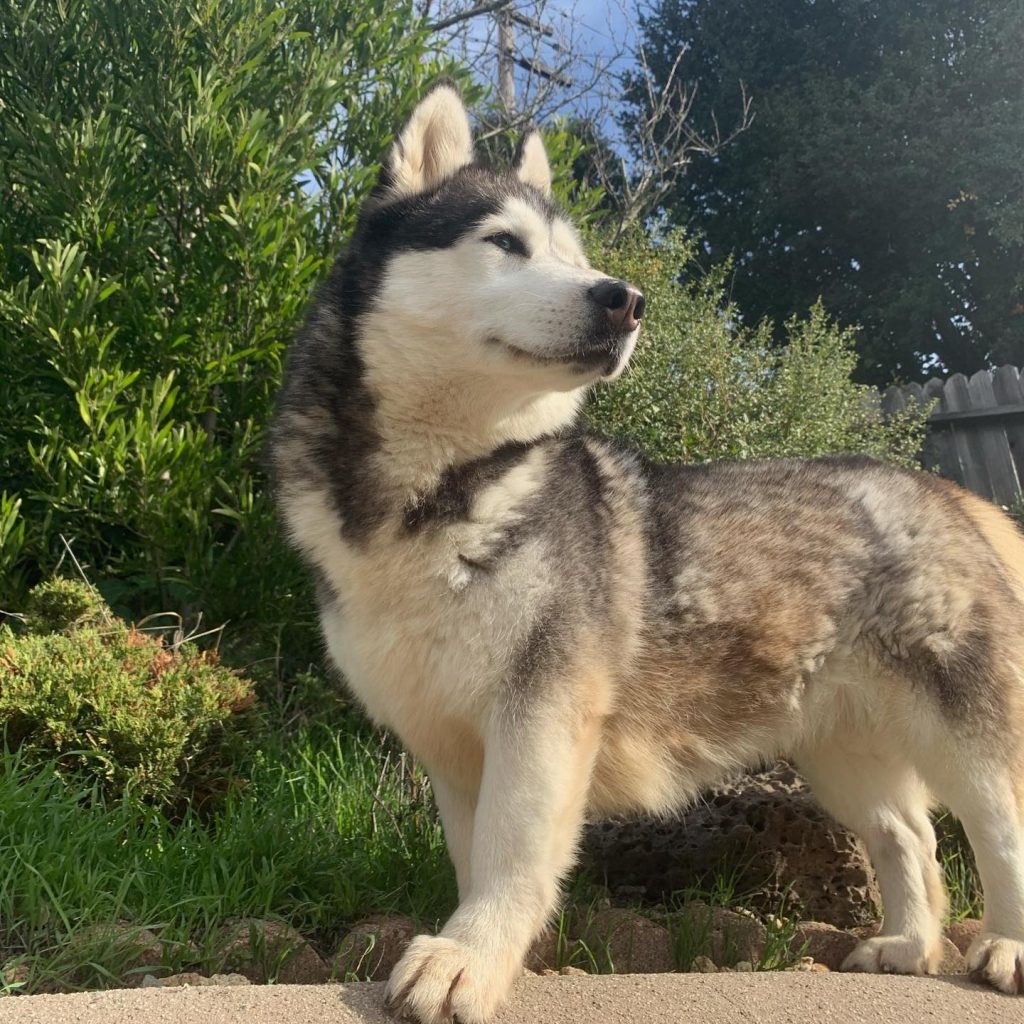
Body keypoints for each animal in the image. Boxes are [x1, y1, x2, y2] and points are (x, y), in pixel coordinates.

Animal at [272, 83, 1024, 1019]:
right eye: (505, 243)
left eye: (576, 255)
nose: (624, 299)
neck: (440, 489)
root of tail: (945, 490)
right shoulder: (447, 739)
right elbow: (471, 854)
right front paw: (494, 954)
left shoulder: (543, 714)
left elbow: (510, 853)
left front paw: (467, 959)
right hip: (841, 752)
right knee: (910, 838)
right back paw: (910, 948)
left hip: (962, 730)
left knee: (1001, 828)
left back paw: (1004, 947)